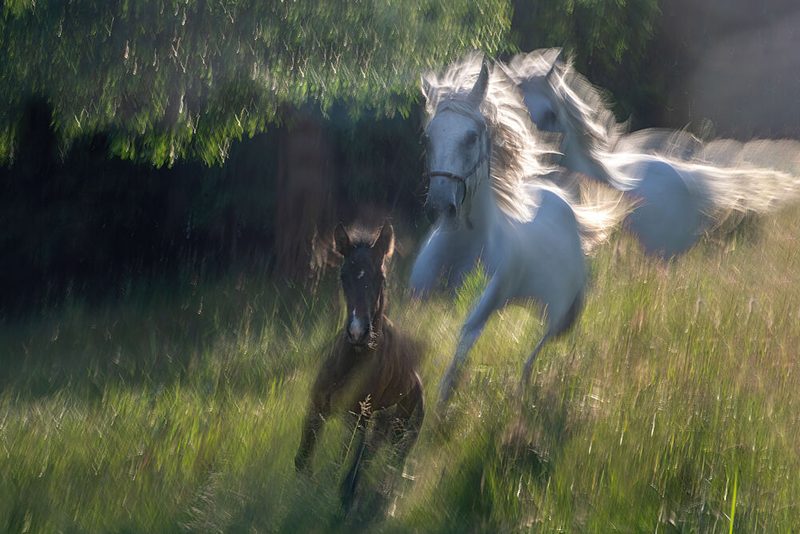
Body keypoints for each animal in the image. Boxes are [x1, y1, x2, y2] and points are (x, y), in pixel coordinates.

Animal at [295, 222, 424, 512]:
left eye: (382, 278)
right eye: (343, 276)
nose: (357, 333)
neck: (349, 363)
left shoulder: (359, 420)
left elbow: (347, 477)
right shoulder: (316, 410)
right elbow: (302, 463)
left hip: (397, 433)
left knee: (385, 468)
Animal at [409, 53, 630, 411]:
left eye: (471, 137)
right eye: (429, 138)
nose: (442, 204)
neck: (463, 245)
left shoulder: (485, 304)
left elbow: (459, 351)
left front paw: (441, 403)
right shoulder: (417, 300)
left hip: (556, 312)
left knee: (534, 352)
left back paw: (522, 389)